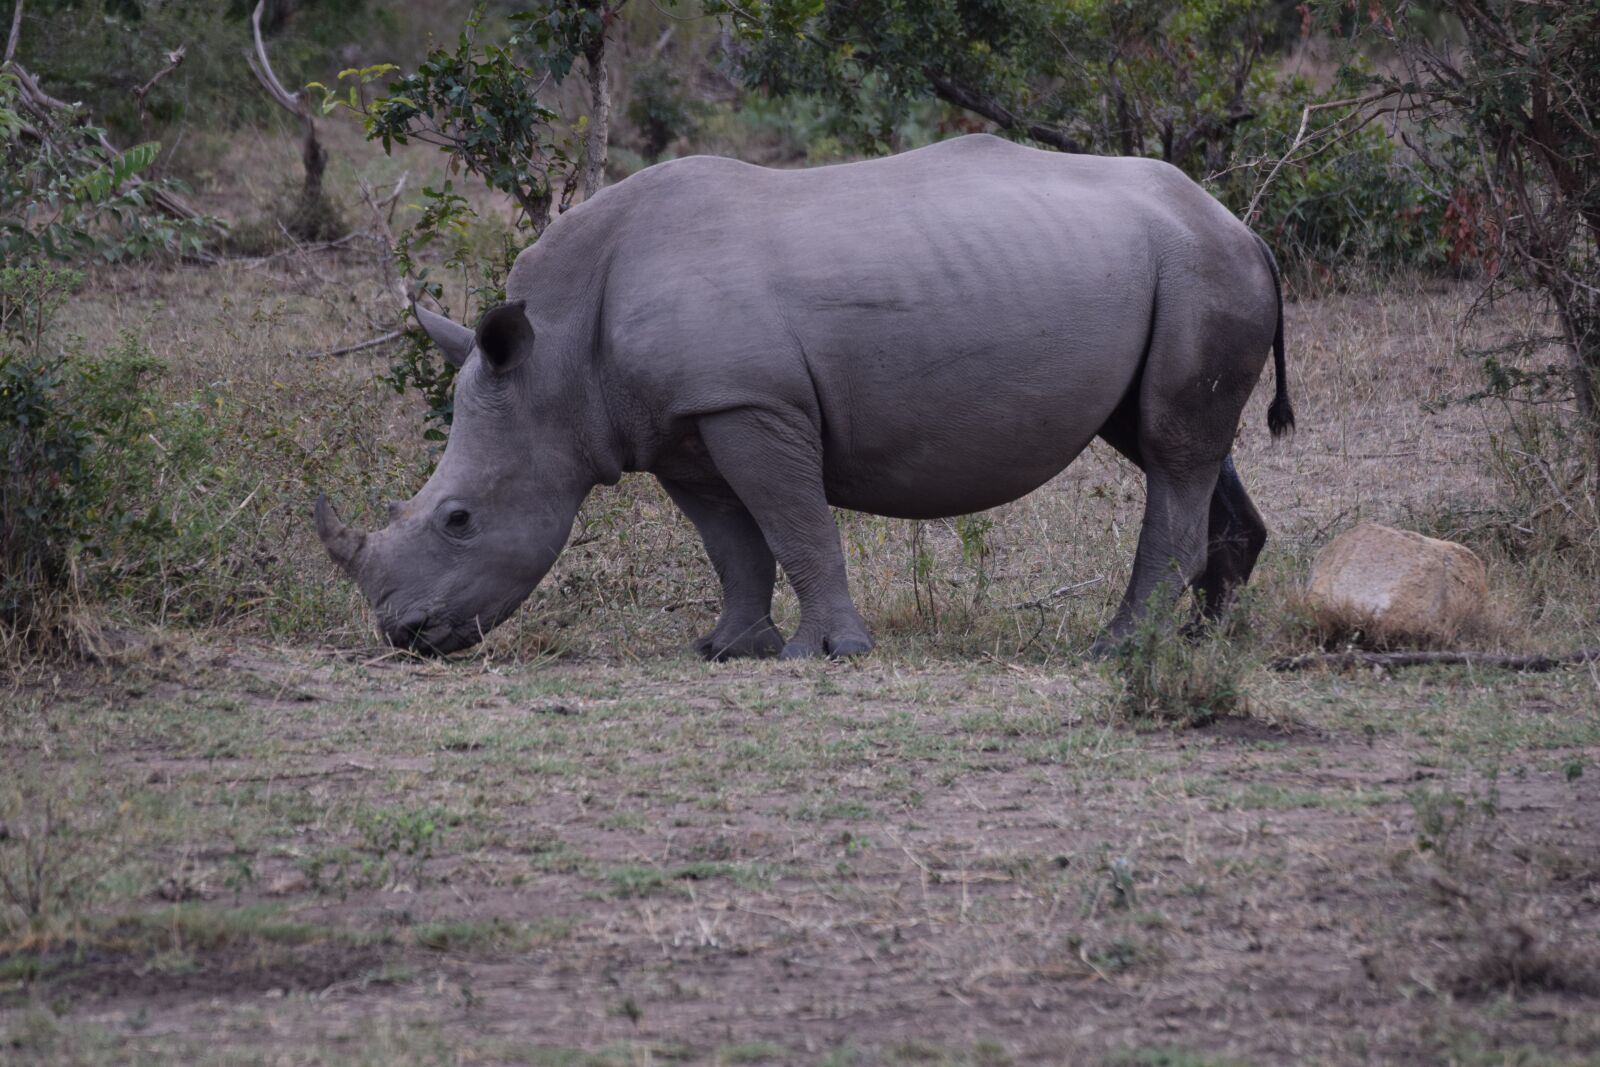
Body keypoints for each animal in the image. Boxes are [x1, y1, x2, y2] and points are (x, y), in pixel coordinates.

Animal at [316, 134, 1293, 659]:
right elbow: (731, 542)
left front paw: (827, 653)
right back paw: (1200, 642)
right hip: (1177, 270)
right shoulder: (681, 420)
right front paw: (726, 647)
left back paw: (1119, 648)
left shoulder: (751, 402)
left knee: (1169, 447)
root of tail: (1244, 227)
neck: (554, 361)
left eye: (459, 519)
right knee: (1170, 439)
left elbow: (794, 523)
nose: (404, 633)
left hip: (1199, 270)